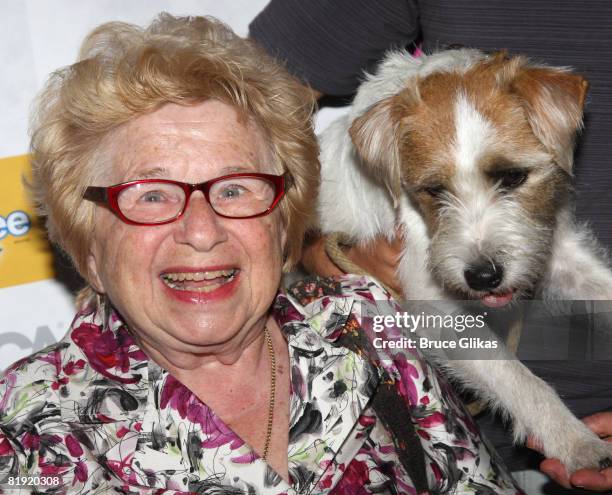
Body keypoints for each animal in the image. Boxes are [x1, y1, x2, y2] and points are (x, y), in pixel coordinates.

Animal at [318, 49, 612, 472]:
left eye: (513, 177)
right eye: (433, 190)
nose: (483, 277)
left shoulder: (560, 255)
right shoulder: (440, 311)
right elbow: (516, 376)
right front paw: (574, 440)